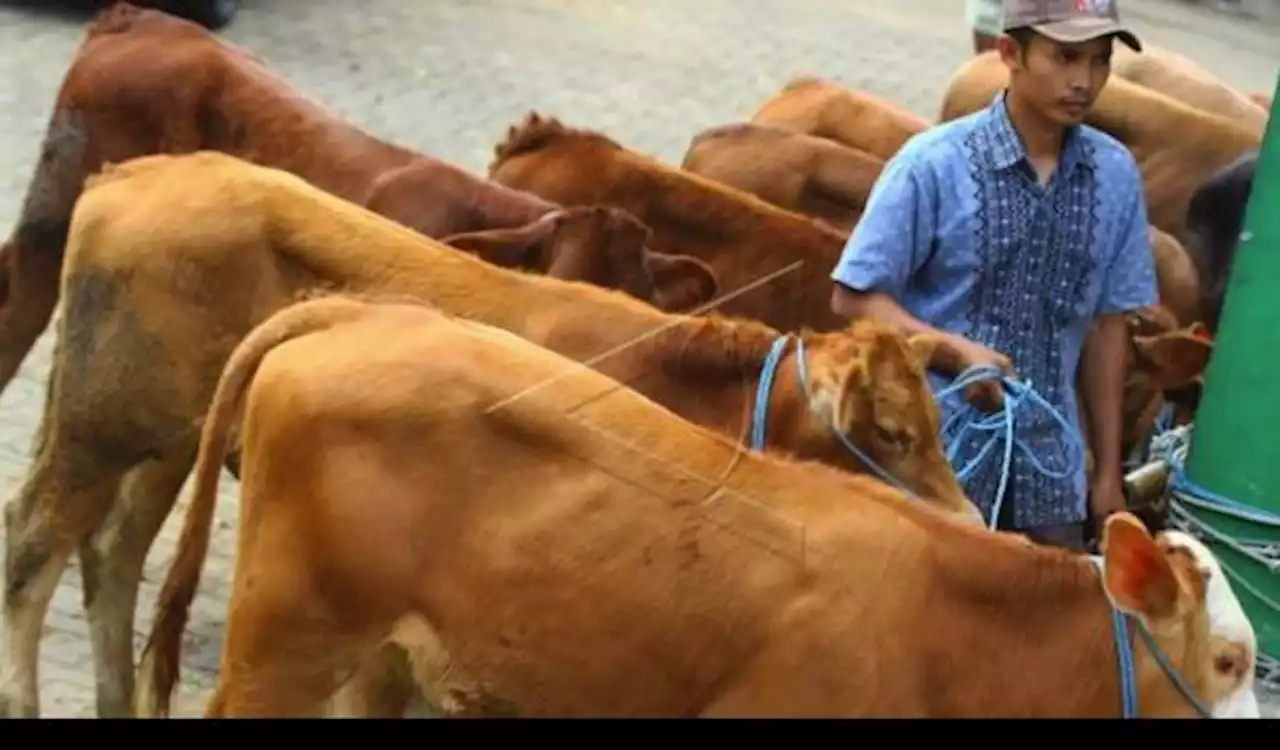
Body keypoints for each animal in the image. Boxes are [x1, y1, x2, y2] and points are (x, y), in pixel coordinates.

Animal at [2, 150, 977, 716]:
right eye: (895, 432)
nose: (970, 520)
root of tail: (142, 171)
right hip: (98, 430)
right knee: (35, 549)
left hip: (160, 444)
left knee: (113, 558)